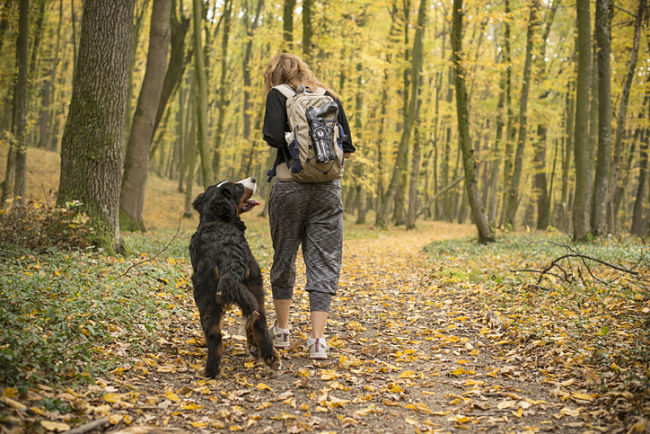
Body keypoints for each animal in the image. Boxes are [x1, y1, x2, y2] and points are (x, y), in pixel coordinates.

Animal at [189, 176, 278, 376]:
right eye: (237, 187)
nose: (253, 178)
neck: (216, 221)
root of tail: (227, 249)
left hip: (206, 294)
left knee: (215, 334)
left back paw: (210, 371)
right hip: (253, 284)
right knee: (258, 320)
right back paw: (268, 356)